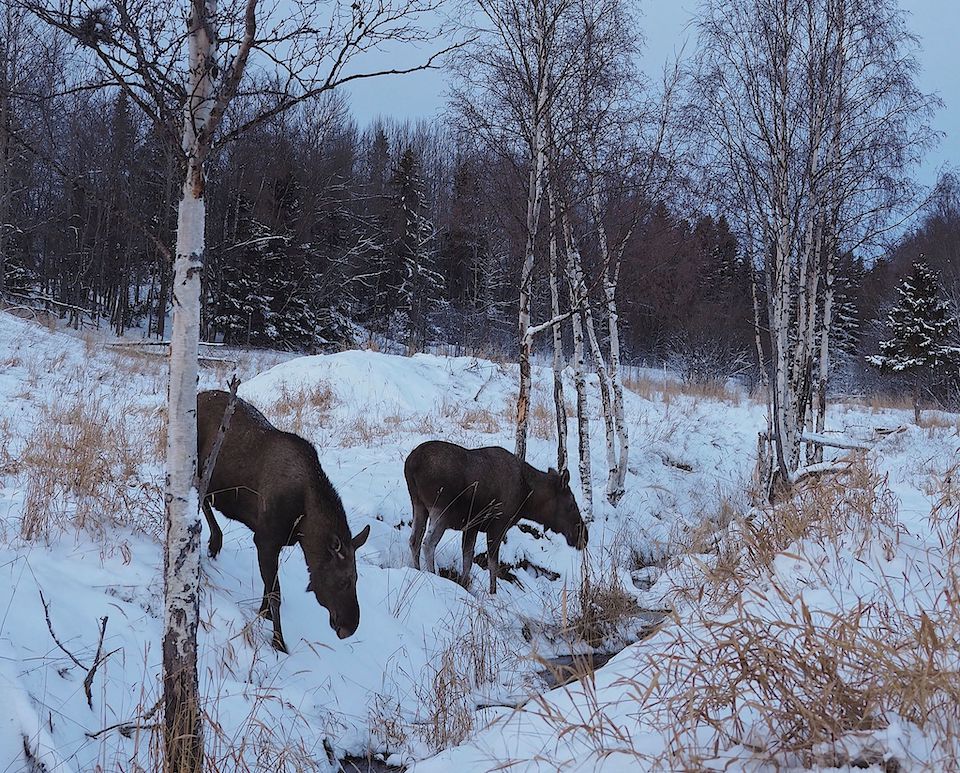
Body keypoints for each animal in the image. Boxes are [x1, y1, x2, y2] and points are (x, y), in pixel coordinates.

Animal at [197, 386, 370, 652]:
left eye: (357, 578)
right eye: (344, 581)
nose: (349, 627)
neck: (304, 522)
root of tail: (198, 395)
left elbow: (268, 589)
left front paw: (263, 614)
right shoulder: (265, 539)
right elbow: (276, 593)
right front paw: (278, 641)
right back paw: (215, 541)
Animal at [404, 438, 584, 596]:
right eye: (571, 504)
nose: (583, 535)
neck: (527, 500)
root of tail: (411, 463)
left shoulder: (472, 527)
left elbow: (468, 560)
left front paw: (464, 585)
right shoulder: (498, 525)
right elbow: (493, 565)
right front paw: (493, 593)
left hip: (418, 504)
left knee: (414, 540)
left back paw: (417, 570)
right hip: (441, 509)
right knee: (428, 543)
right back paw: (432, 575)